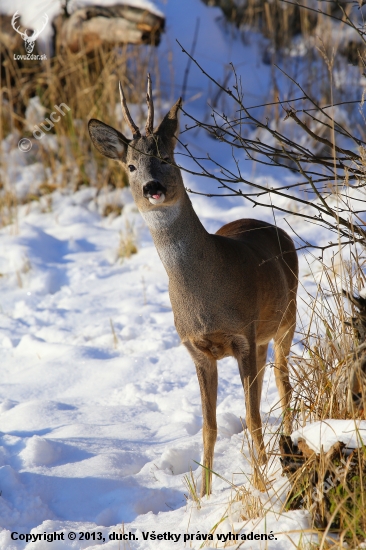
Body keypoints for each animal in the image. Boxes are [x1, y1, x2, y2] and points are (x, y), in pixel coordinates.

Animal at [88, 76, 298, 496]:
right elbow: (209, 426)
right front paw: (204, 495)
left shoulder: (242, 334)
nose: (152, 186)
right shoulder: (198, 350)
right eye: (131, 165)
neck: (204, 299)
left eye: (167, 158)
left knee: (282, 382)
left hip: (288, 318)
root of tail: (274, 228)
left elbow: (251, 416)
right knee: (266, 385)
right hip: (264, 337)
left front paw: (261, 484)